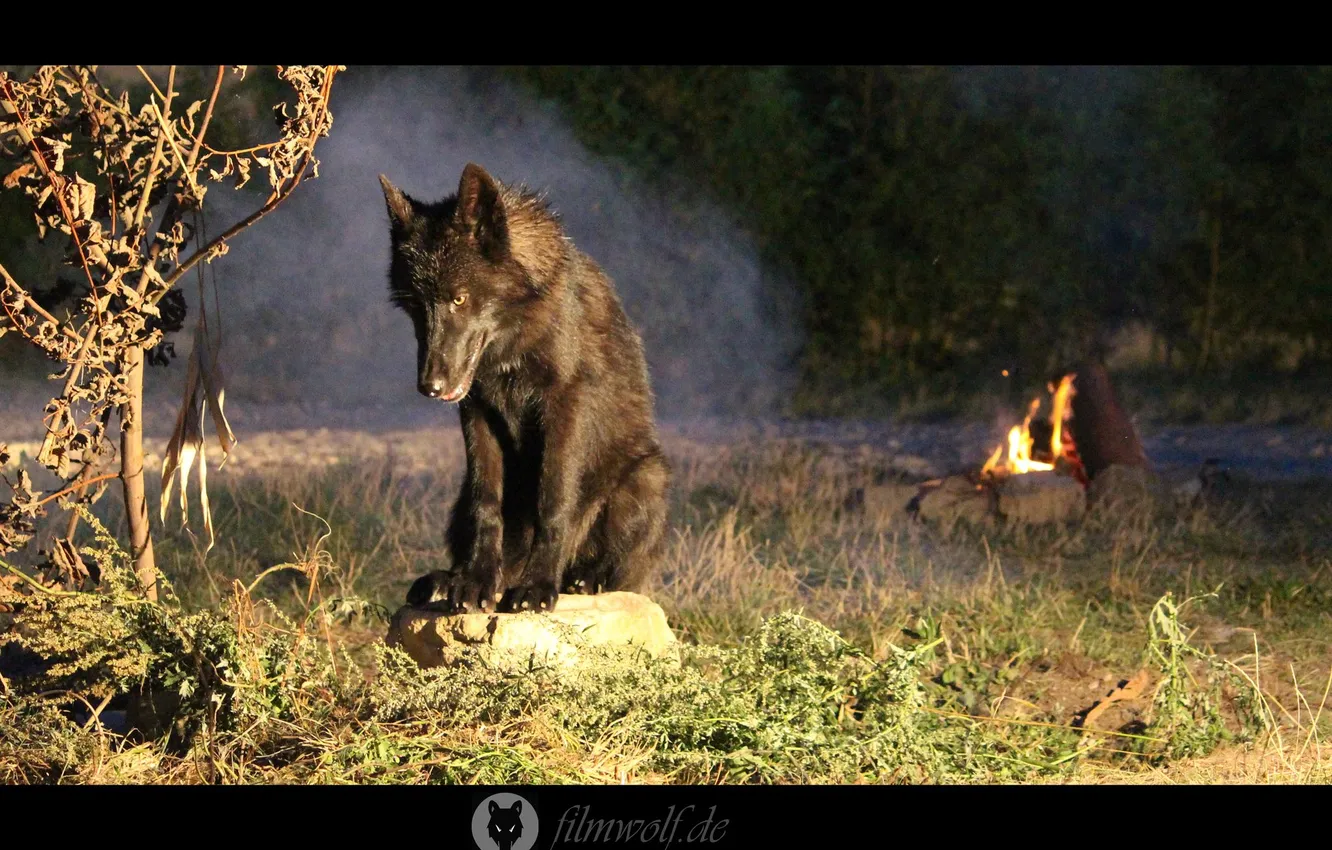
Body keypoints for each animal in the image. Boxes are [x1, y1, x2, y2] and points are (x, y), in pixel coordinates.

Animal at [380, 163, 670, 614]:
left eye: (459, 299)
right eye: (415, 306)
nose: (430, 386)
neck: (513, 341)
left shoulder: (564, 405)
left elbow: (554, 499)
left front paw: (537, 586)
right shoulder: (477, 411)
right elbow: (487, 504)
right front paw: (475, 582)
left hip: (647, 476)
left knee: (619, 570)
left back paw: (582, 578)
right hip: (458, 503)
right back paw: (452, 579)